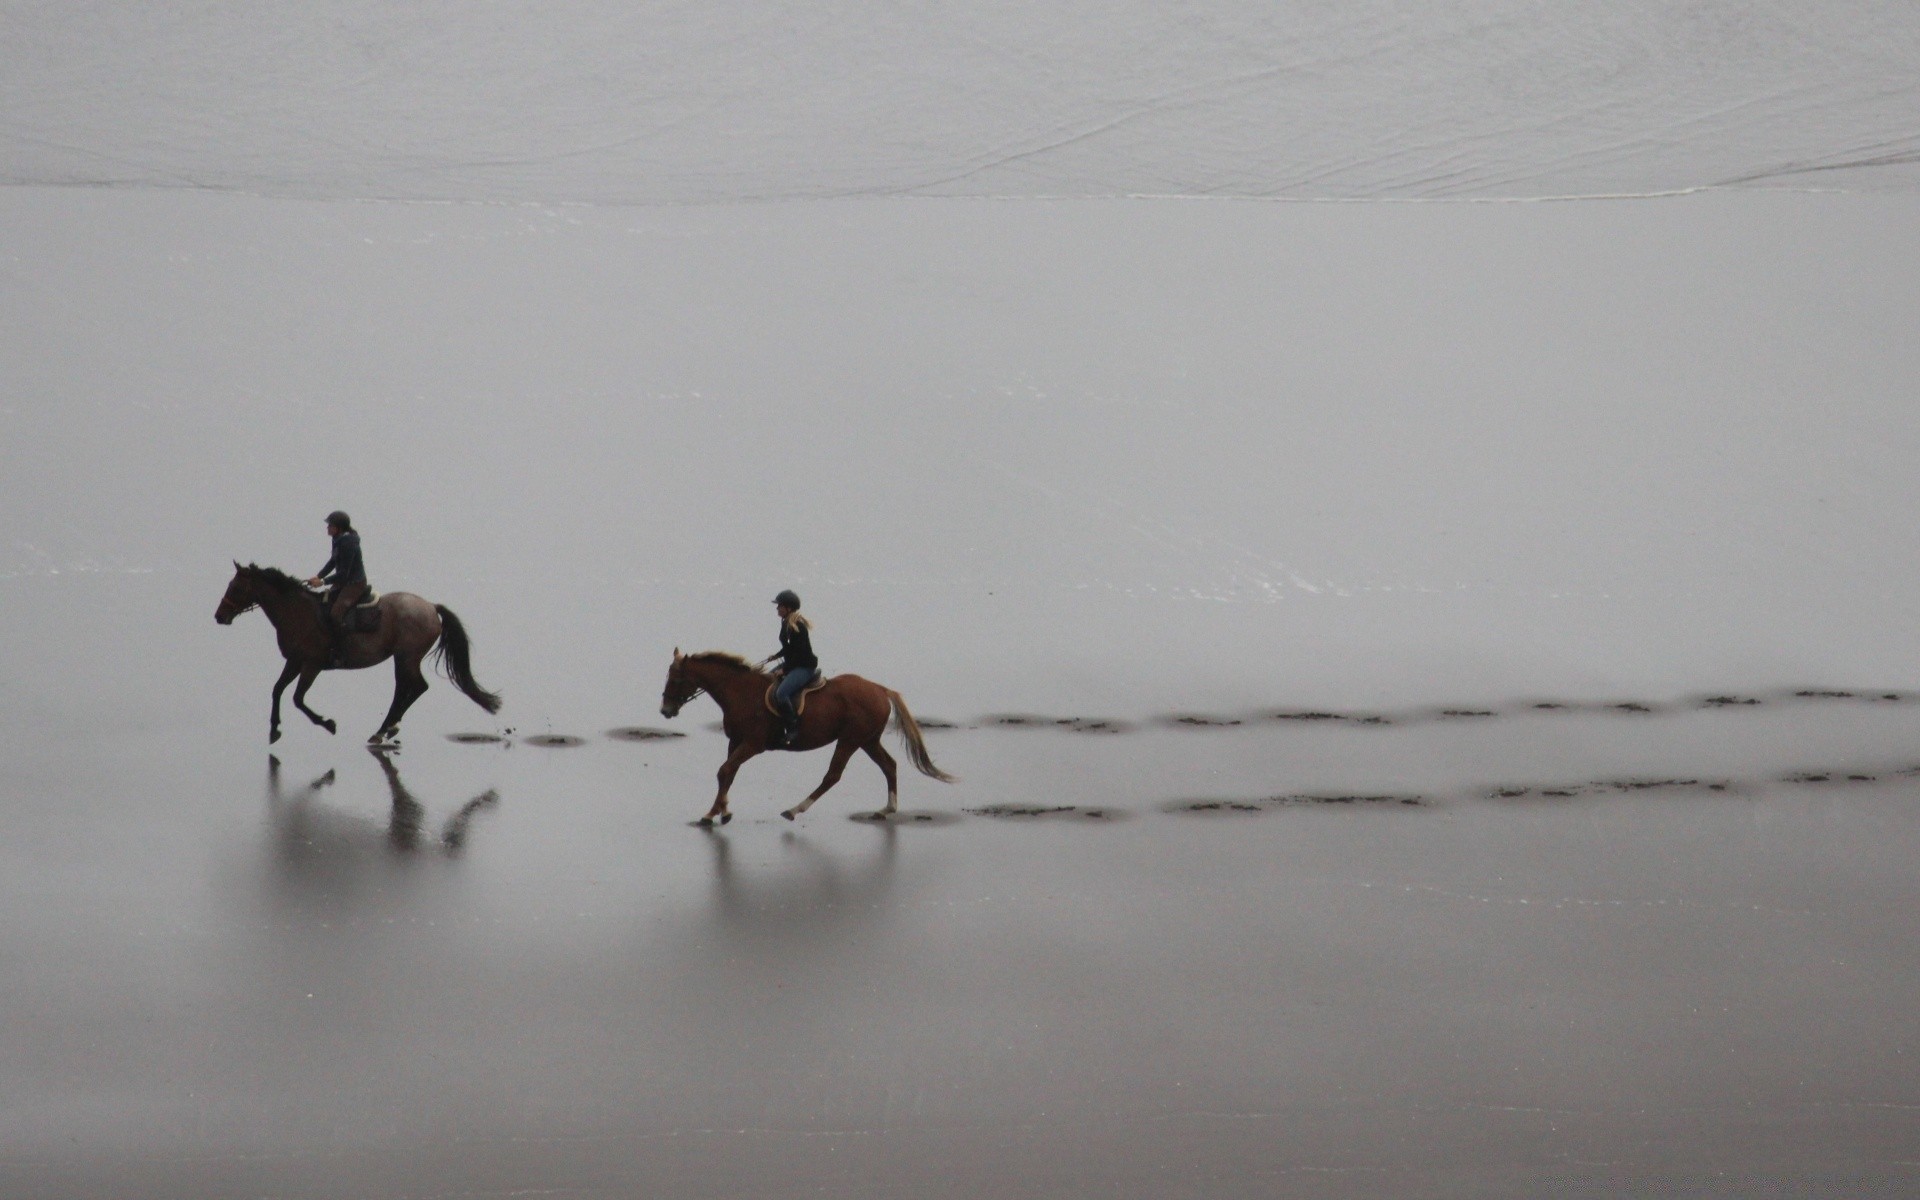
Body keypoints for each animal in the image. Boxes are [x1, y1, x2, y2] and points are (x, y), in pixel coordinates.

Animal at [217, 560, 503, 741]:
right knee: (407, 688)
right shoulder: (295, 661)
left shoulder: (312, 665)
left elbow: (298, 698)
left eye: (235, 587)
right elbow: (277, 689)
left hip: (406, 657)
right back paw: (387, 728)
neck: (297, 613)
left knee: (416, 687)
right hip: (403, 658)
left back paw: (384, 729)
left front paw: (327, 724)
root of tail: (431, 607)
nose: (219, 616)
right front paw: (274, 729)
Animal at [664, 645, 956, 821]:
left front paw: (717, 814)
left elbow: (725, 770)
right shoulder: (735, 741)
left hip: (850, 739)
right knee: (889, 765)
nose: (665, 710)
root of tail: (880, 689)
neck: (740, 692)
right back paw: (887, 809)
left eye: (675, 679)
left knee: (833, 776)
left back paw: (794, 810)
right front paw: (718, 812)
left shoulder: (752, 744)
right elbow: (728, 773)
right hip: (868, 740)